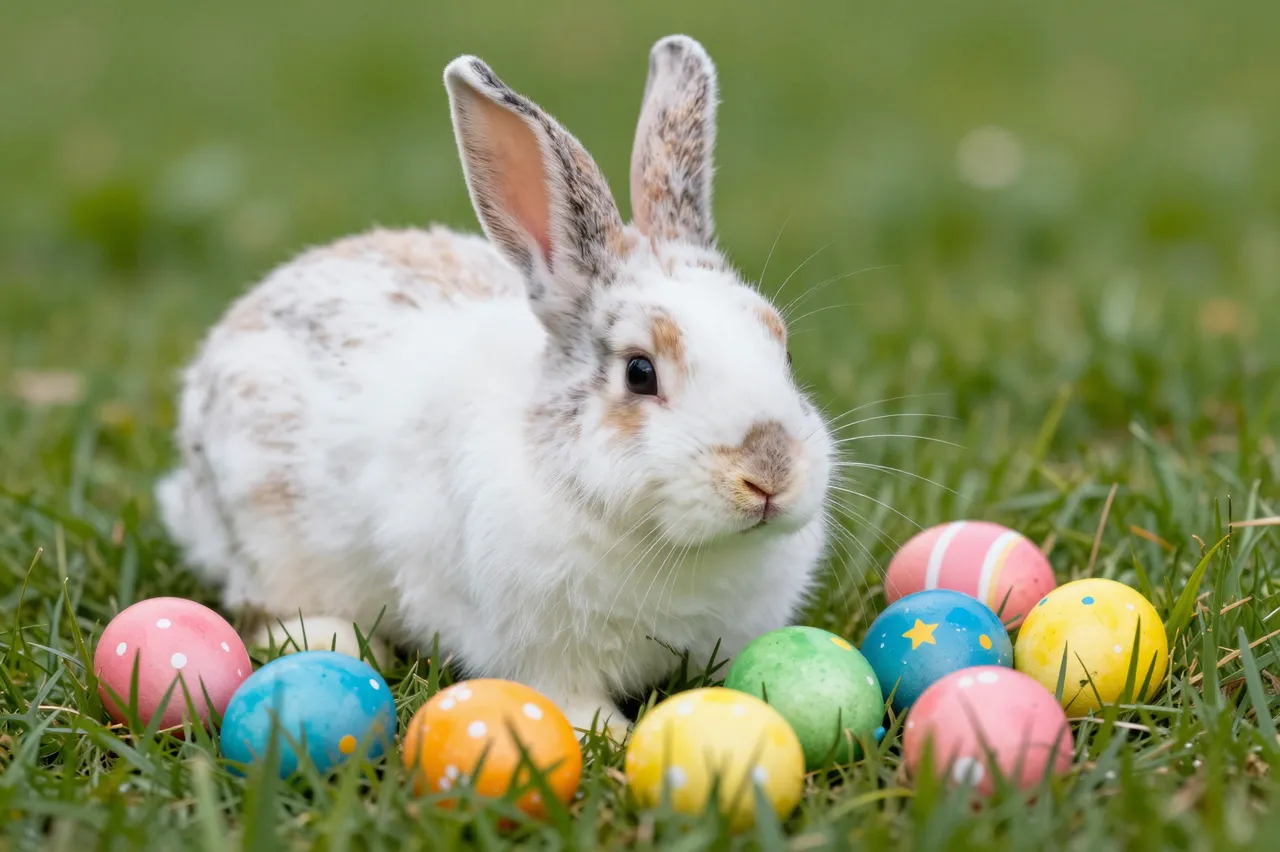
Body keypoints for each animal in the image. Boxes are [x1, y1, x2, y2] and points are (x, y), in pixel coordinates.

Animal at [155, 34, 834, 738]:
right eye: (640, 372)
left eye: (782, 349)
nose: (769, 472)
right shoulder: (543, 655)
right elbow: (570, 701)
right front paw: (611, 737)